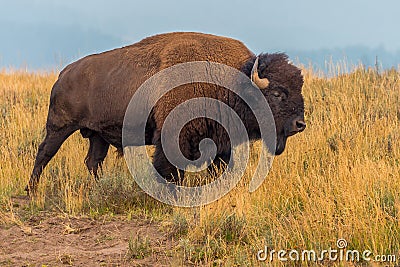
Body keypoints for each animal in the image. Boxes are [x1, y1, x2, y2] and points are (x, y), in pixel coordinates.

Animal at [25, 32, 306, 194]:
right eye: (278, 93)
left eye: (298, 88)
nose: (299, 124)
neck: (232, 81)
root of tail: (63, 74)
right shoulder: (175, 136)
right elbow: (169, 168)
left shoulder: (220, 140)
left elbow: (217, 168)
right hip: (59, 126)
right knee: (44, 153)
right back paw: (31, 190)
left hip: (97, 135)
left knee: (93, 161)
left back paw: (98, 189)